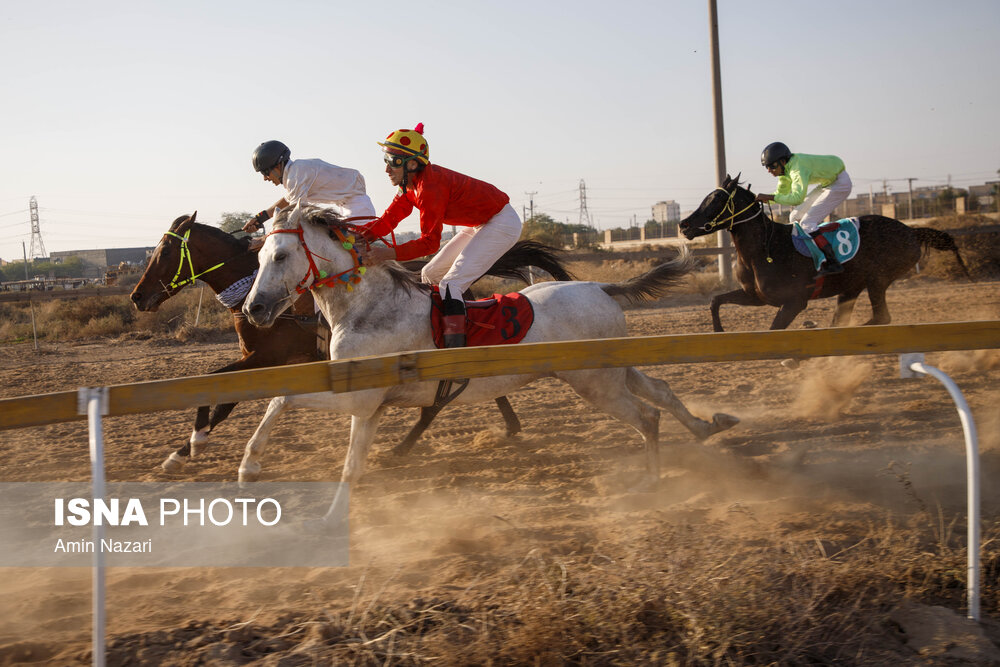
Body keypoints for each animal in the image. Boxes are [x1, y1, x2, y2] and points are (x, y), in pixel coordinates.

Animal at [131, 211, 580, 472]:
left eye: (165, 250)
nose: (137, 296)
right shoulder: (262, 358)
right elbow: (218, 390)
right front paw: (187, 448)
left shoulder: (268, 358)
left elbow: (221, 395)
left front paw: (187, 447)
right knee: (458, 394)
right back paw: (505, 427)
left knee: (438, 402)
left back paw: (406, 448)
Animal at [244, 206, 736, 520]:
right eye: (260, 256)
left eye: (281, 256)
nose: (253, 309)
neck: (370, 307)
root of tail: (599, 287)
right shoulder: (369, 408)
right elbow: (345, 459)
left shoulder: (360, 399)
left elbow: (287, 401)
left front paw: (250, 468)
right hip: (612, 369)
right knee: (660, 392)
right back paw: (708, 426)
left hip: (595, 383)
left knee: (647, 415)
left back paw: (651, 483)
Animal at [680, 176, 968, 332]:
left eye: (717, 200)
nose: (683, 224)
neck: (764, 250)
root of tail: (911, 230)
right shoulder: (757, 296)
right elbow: (715, 300)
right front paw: (718, 330)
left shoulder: (795, 301)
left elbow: (774, 329)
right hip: (852, 286)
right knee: (843, 320)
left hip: (878, 278)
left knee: (880, 318)